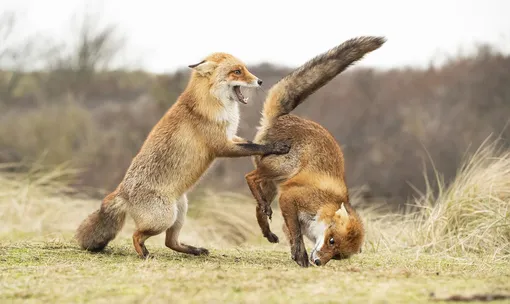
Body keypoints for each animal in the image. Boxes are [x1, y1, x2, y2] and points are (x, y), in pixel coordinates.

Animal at [75, 52, 290, 258]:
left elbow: (250, 142)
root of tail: (122, 192)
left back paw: (195, 251)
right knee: (136, 235)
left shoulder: (231, 137)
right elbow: (255, 147)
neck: (213, 104)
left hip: (180, 212)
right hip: (163, 219)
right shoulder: (222, 146)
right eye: (237, 72)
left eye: (244, 69)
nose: (260, 81)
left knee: (170, 242)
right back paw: (144, 254)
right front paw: (276, 147)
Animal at [245, 36, 384, 268]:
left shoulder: (288, 211)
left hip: (273, 185)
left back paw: (267, 230)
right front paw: (301, 256)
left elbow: (291, 235)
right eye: (331, 240)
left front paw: (296, 254)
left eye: (337, 255)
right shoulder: (289, 198)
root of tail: (284, 117)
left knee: (257, 207)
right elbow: (297, 234)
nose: (319, 262)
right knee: (250, 177)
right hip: (281, 169)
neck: (324, 206)